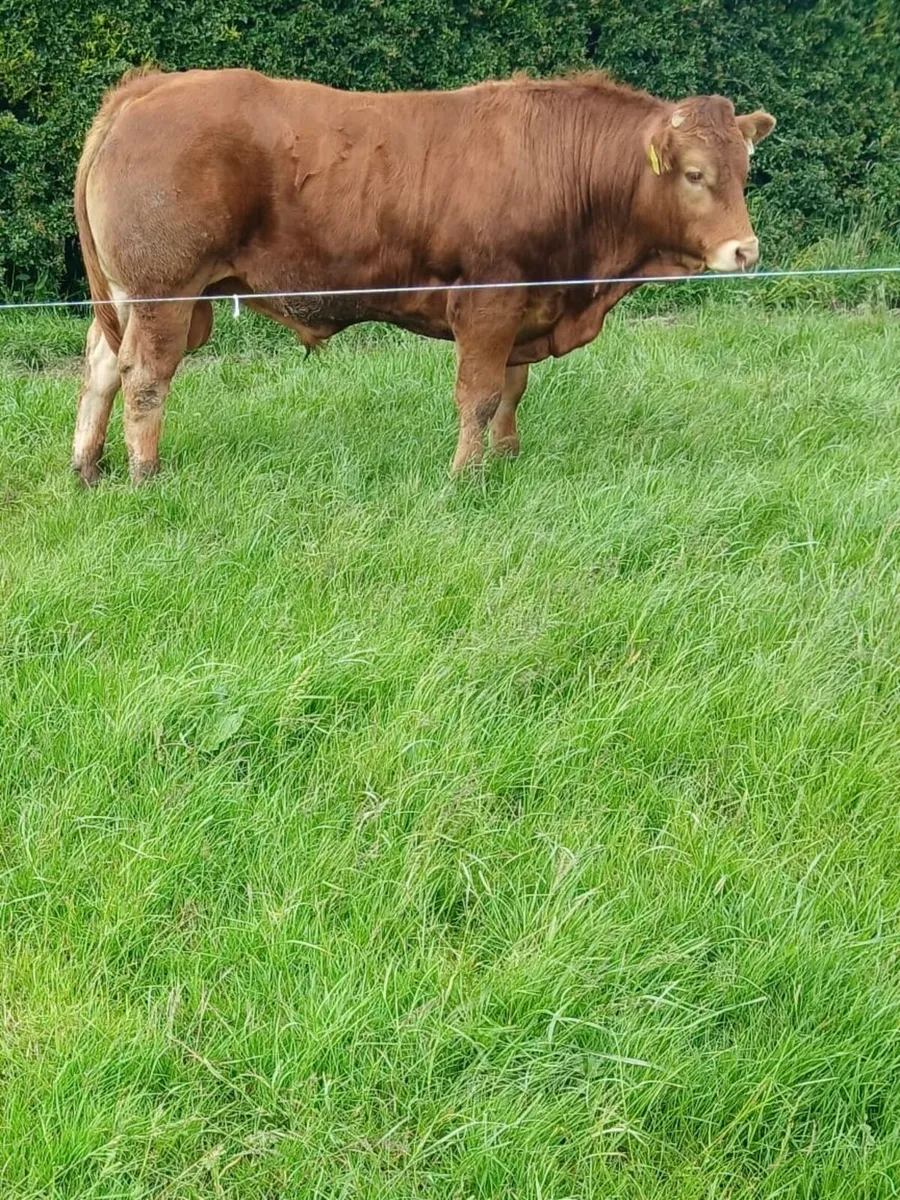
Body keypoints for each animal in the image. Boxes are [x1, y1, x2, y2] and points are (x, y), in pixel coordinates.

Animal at [72, 67, 775, 485]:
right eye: (694, 174)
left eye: (744, 170)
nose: (745, 251)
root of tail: (148, 87)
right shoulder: (489, 301)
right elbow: (479, 394)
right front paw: (467, 477)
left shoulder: (525, 306)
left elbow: (512, 390)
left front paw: (507, 458)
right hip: (165, 291)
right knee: (145, 377)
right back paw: (145, 474)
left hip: (138, 295)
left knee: (102, 364)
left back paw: (87, 466)